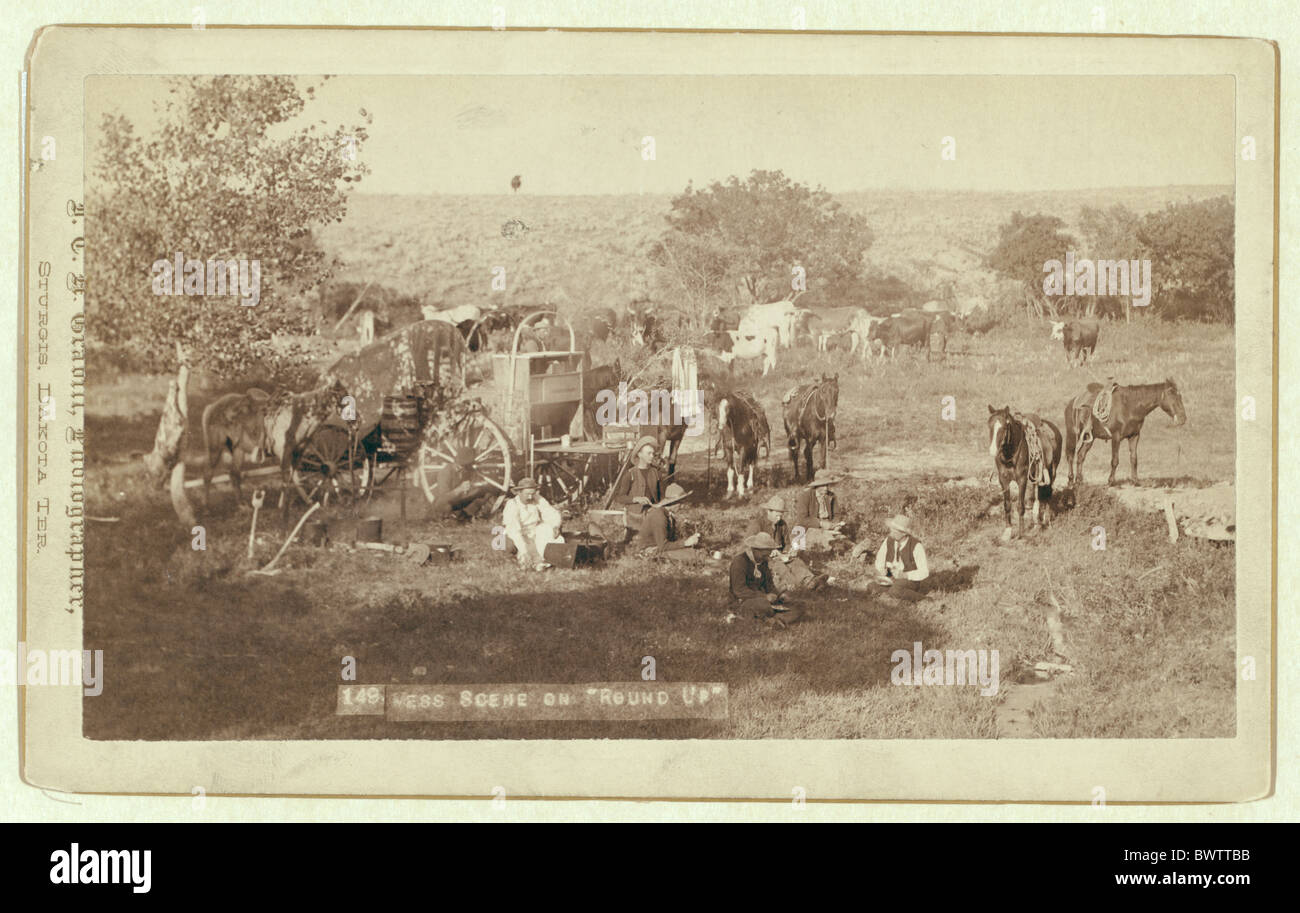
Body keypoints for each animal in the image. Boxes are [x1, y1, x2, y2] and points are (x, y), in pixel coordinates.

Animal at [987, 405, 1060, 541]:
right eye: (989, 425)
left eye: (1004, 427)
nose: (992, 450)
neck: (1010, 454)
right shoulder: (1003, 480)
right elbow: (1007, 505)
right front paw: (1007, 532)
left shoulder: (1022, 480)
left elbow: (1020, 506)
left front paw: (1021, 534)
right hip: (1036, 475)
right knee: (1038, 494)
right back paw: (1037, 524)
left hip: (1052, 471)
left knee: (1048, 493)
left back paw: (1047, 521)